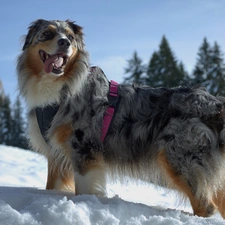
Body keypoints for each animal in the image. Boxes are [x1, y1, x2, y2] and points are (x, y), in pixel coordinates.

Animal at [16, 19, 225, 218]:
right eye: (47, 33)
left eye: (70, 37)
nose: (64, 42)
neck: (59, 89)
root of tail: (214, 103)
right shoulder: (57, 154)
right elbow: (51, 186)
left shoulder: (84, 151)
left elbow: (83, 189)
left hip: (179, 159)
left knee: (205, 207)